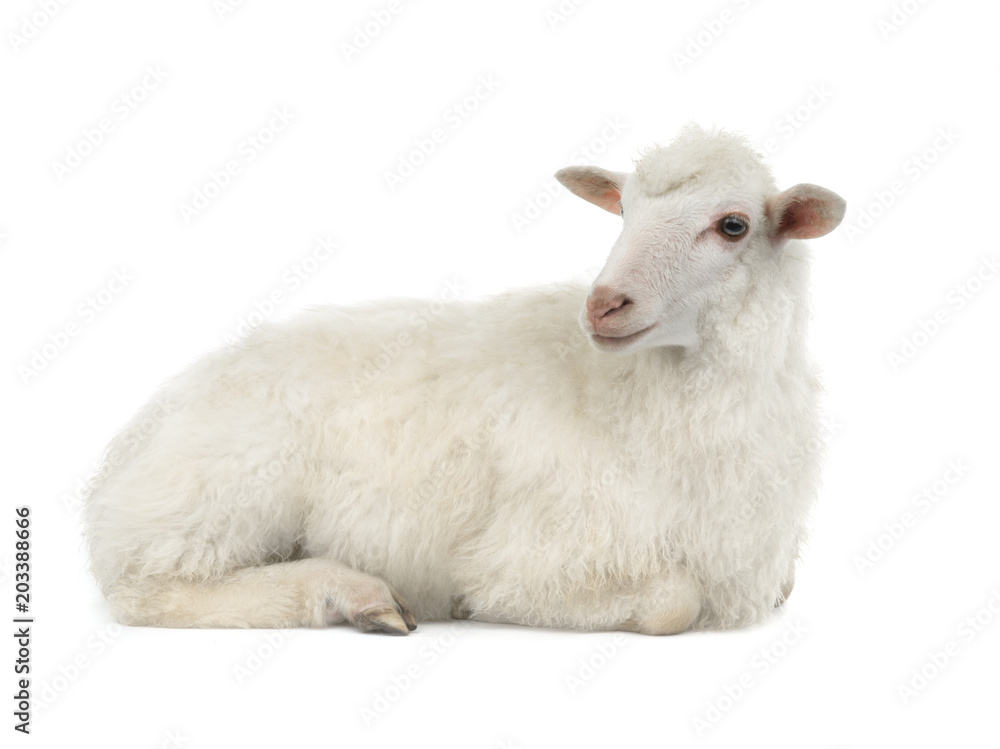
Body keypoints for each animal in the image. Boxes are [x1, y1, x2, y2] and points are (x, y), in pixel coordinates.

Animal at [84, 125, 845, 636]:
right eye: (624, 210)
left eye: (733, 225)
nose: (603, 304)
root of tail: (133, 441)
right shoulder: (531, 556)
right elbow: (672, 603)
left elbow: (782, 585)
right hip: (227, 490)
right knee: (150, 589)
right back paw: (353, 594)